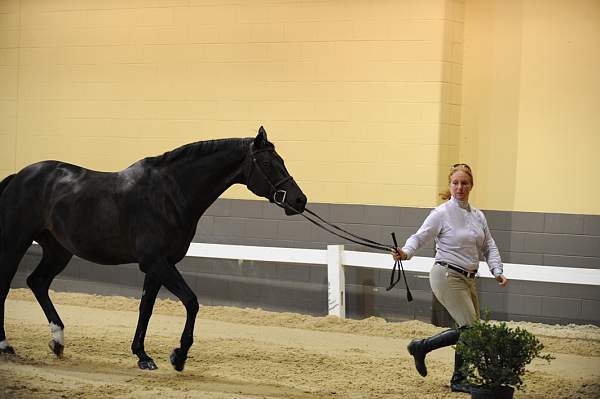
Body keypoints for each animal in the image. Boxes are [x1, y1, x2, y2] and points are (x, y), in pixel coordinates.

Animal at [0, 127, 308, 372]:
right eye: (268, 162)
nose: (299, 200)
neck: (169, 194)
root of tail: (18, 176)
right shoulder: (157, 262)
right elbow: (191, 301)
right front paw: (178, 356)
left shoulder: (158, 265)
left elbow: (146, 308)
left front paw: (142, 355)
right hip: (15, 243)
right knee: (7, 287)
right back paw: (6, 344)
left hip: (58, 251)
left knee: (37, 282)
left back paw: (57, 341)